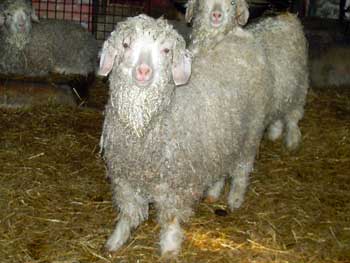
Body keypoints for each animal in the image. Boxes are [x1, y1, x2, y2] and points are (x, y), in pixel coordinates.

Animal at [100, 14, 272, 258]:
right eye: (125, 45)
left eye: (166, 50)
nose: (143, 71)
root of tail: (239, 34)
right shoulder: (123, 176)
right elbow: (128, 211)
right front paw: (117, 239)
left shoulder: (176, 182)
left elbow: (171, 217)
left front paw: (170, 248)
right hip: (220, 138)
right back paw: (214, 192)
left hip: (251, 130)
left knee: (241, 170)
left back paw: (235, 198)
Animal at [186, 0, 308, 152]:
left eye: (232, 3)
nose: (216, 15)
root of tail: (288, 15)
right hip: (280, 88)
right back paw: (274, 133)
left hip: (298, 86)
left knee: (293, 116)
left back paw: (292, 140)